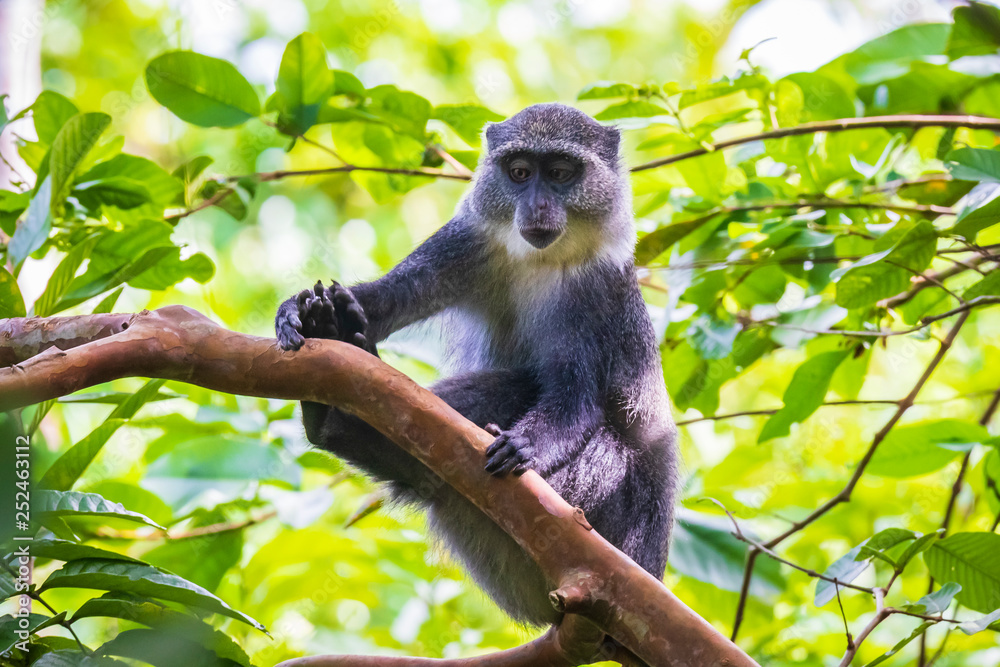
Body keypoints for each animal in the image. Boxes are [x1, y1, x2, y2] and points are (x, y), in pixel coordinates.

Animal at [275, 103, 678, 627]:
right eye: (520, 173)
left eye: (561, 173)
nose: (537, 207)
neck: (540, 259)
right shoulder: (465, 242)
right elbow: (388, 300)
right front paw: (306, 311)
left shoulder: (595, 290)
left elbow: (577, 402)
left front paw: (528, 445)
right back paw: (333, 407)